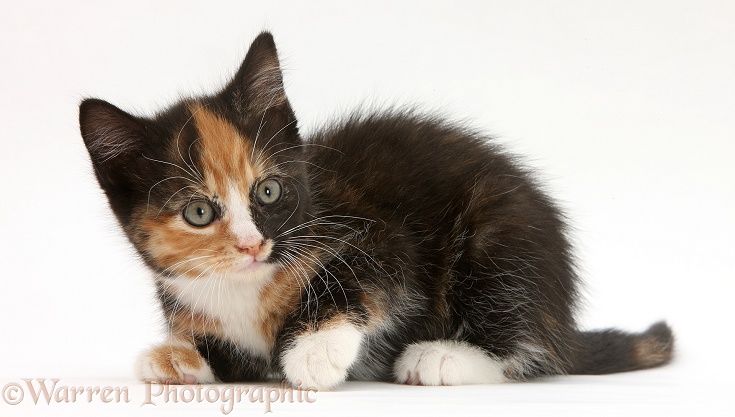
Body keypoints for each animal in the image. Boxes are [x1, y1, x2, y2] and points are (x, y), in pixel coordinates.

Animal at [79, 30, 672, 388]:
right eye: (198, 213)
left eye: (268, 192)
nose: (251, 245)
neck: (243, 287)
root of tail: (564, 316)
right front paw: (180, 357)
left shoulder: (381, 236)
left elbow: (362, 280)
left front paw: (313, 351)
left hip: (502, 237)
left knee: (529, 343)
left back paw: (441, 357)